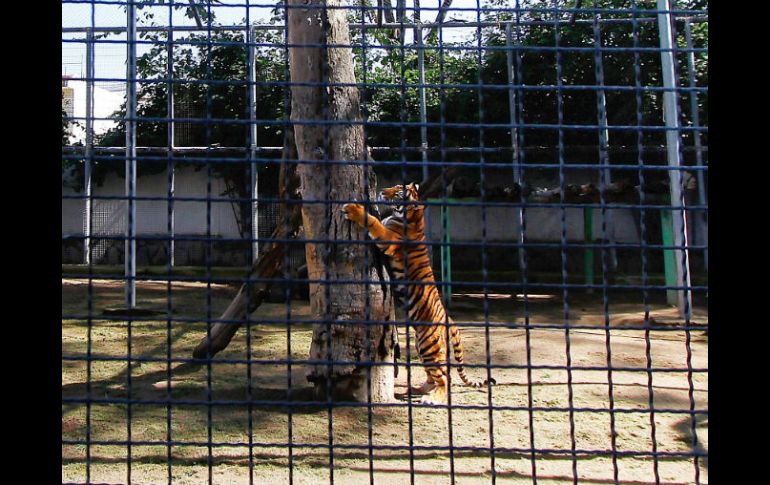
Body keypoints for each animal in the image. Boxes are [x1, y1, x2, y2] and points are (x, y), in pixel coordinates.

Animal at [340, 180, 496, 402]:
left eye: (397, 192)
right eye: (395, 185)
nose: (382, 191)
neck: (410, 216)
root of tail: (449, 318)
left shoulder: (388, 238)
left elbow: (373, 222)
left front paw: (353, 210)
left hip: (430, 345)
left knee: (444, 378)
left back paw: (432, 398)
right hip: (422, 346)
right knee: (433, 376)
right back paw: (414, 390)